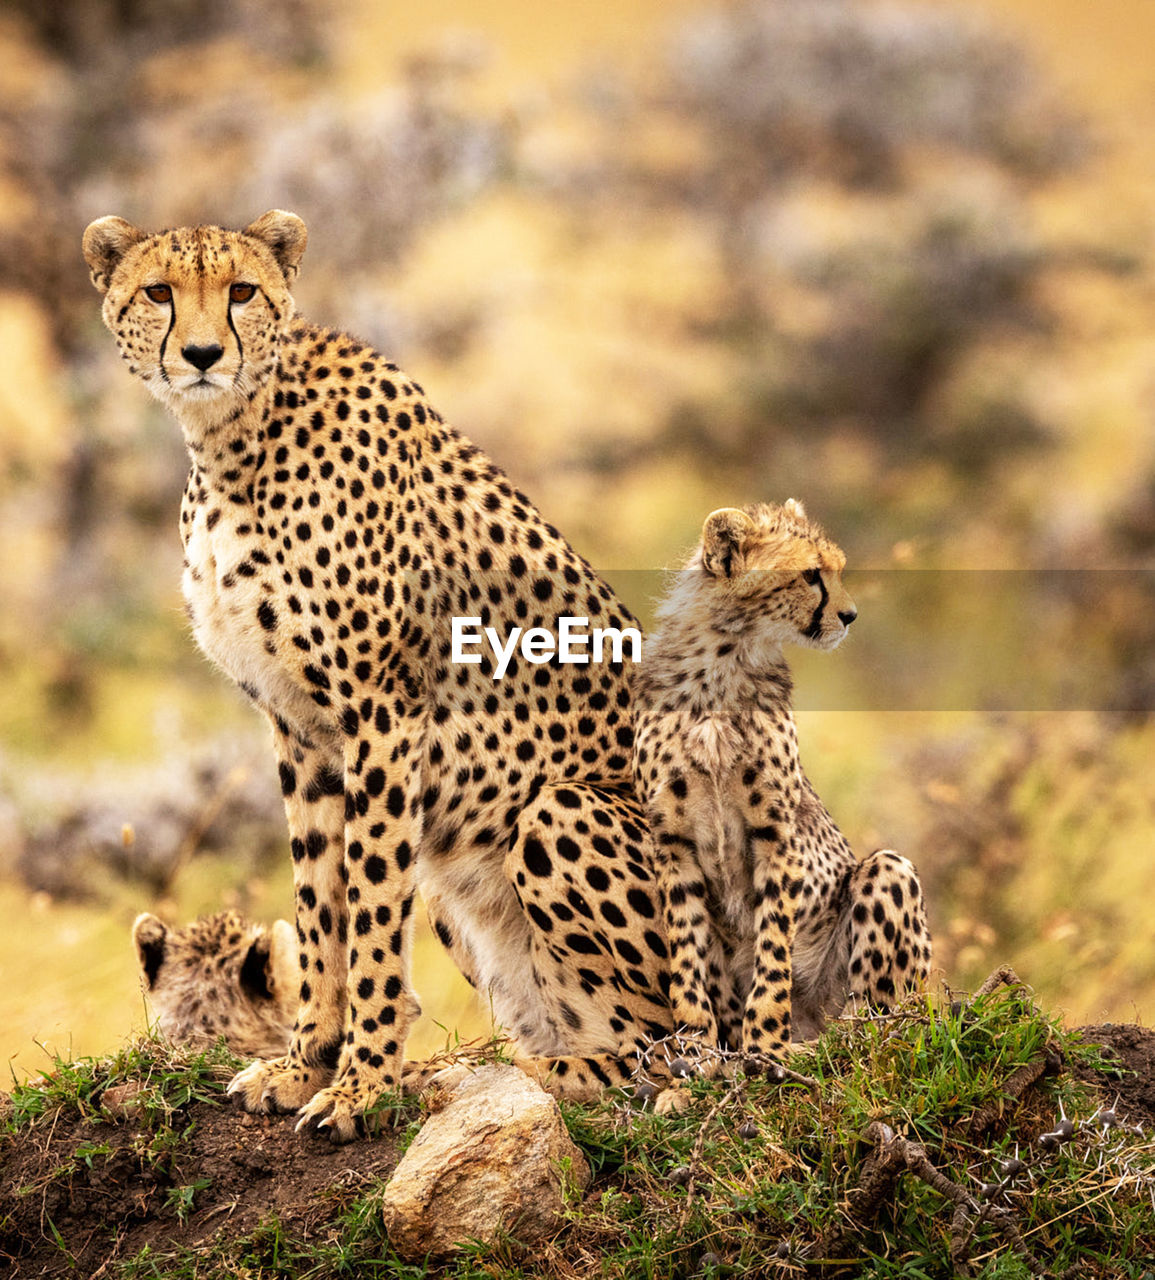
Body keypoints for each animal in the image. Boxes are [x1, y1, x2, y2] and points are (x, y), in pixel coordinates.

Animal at [637, 499, 937, 1059]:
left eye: (837, 570)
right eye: (810, 574)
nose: (850, 615)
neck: (725, 661)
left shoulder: (776, 835)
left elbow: (773, 948)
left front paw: (765, 1047)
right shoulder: (673, 842)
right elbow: (686, 951)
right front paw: (694, 1045)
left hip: (887, 880)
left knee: (886, 1022)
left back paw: (827, 1041)